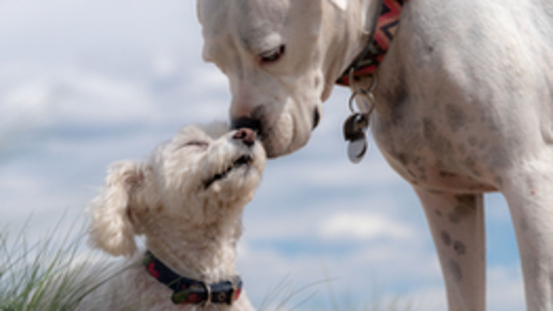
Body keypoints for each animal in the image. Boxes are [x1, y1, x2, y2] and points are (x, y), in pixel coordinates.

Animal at [197, 0, 553, 311]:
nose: (245, 128)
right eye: (216, 63)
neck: (396, 29)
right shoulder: (447, 202)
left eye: (272, 54)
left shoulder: (530, 182)